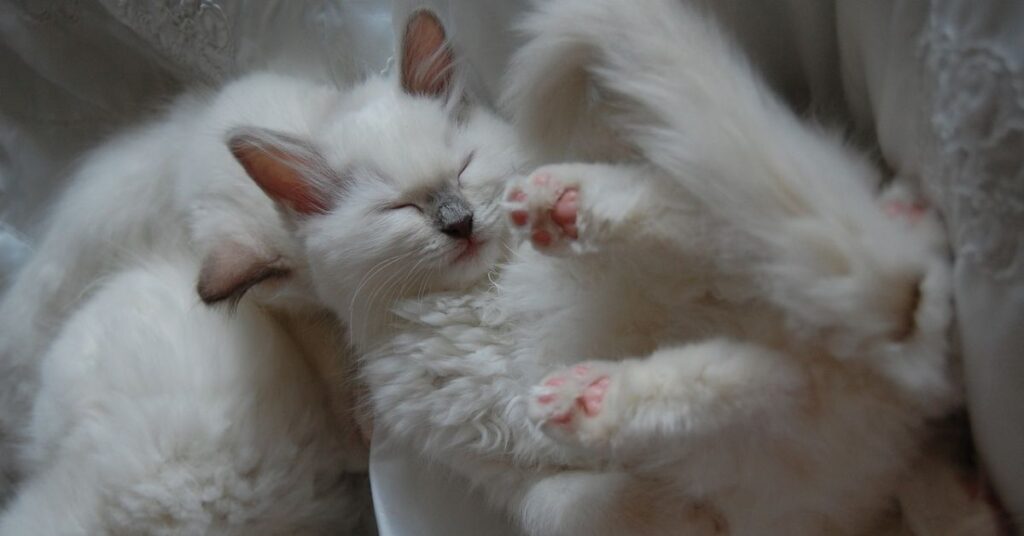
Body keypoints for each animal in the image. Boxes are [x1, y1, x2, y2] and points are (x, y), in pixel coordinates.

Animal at [224, 4, 966, 536]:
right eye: (400, 208)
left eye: (462, 168)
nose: (459, 221)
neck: (475, 305)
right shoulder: (502, 469)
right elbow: (559, 504)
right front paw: (674, 515)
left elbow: (680, 241)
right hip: (789, 428)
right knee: (756, 382)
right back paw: (590, 395)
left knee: (717, 238)